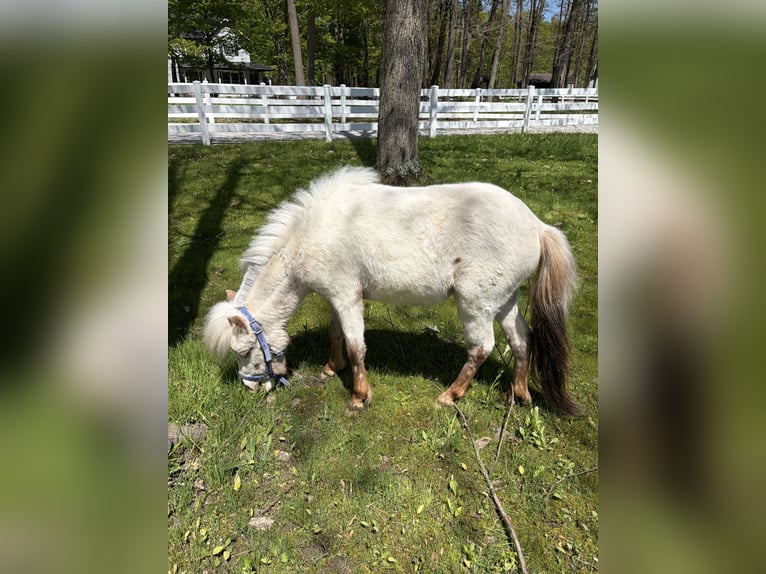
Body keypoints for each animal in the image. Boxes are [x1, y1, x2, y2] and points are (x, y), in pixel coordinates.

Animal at [203, 166, 579, 414]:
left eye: (243, 351)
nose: (250, 387)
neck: (313, 233)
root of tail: (537, 225)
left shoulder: (347, 297)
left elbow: (356, 346)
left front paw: (359, 396)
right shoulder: (338, 297)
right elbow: (336, 333)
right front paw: (331, 367)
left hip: (476, 305)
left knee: (481, 348)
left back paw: (450, 396)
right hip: (505, 302)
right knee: (522, 340)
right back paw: (518, 394)